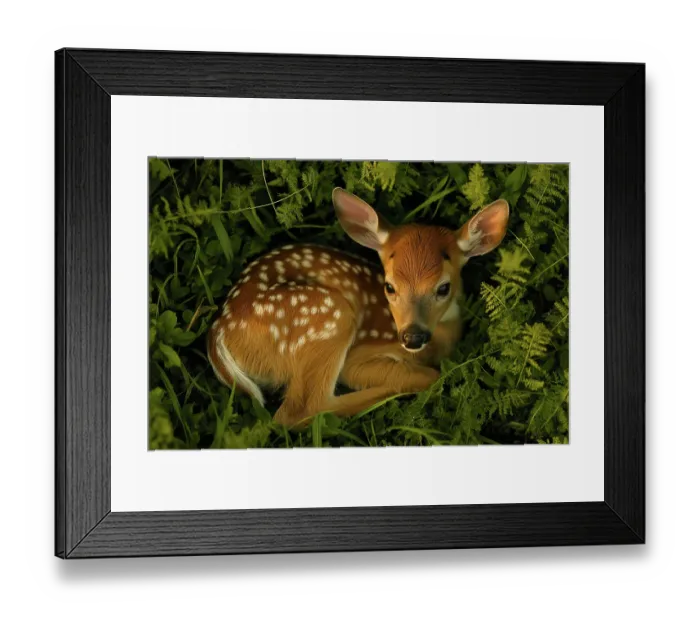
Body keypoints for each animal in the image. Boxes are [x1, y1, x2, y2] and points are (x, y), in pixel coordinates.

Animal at [207, 187, 509, 427]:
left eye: (443, 287)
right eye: (389, 287)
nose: (412, 336)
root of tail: (219, 334)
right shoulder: (363, 352)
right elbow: (427, 374)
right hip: (328, 317)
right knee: (299, 411)